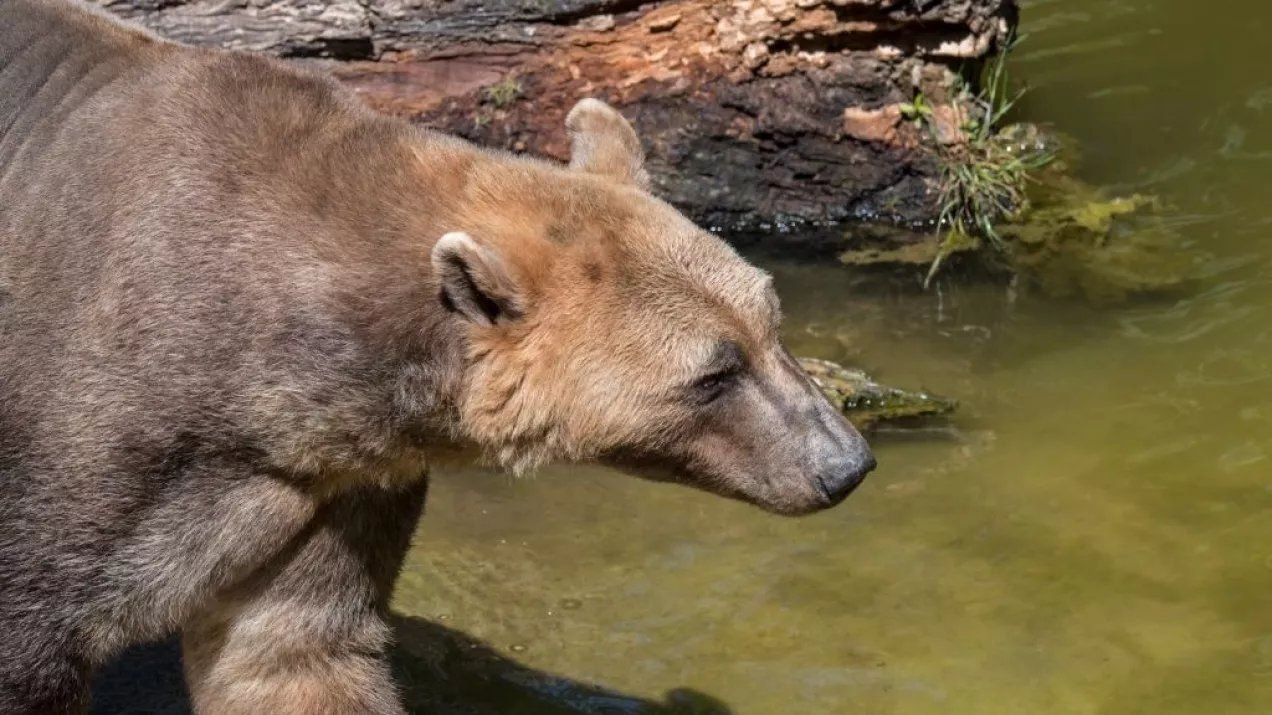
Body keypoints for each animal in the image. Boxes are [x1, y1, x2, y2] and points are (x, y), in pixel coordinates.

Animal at [0, 0, 875, 707]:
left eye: (770, 321)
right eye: (713, 372)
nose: (845, 464)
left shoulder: (333, 481)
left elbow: (296, 652)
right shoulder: (86, 441)